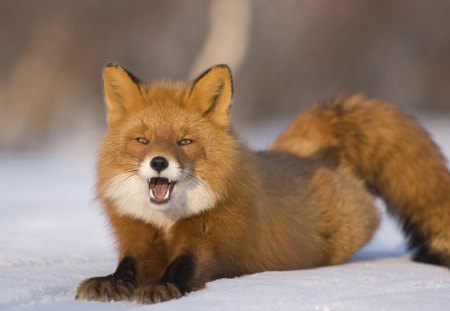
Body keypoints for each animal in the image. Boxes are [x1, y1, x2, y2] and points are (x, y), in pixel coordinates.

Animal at [75, 63, 450, 304]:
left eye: (184, 142)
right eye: (142, 140)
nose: (158, 162)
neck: (167, 221)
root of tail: (300, 153)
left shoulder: (210, 241)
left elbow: (183, 268)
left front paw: (162, 287)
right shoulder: (137, 235)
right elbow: (127, 266)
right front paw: (110, 283)